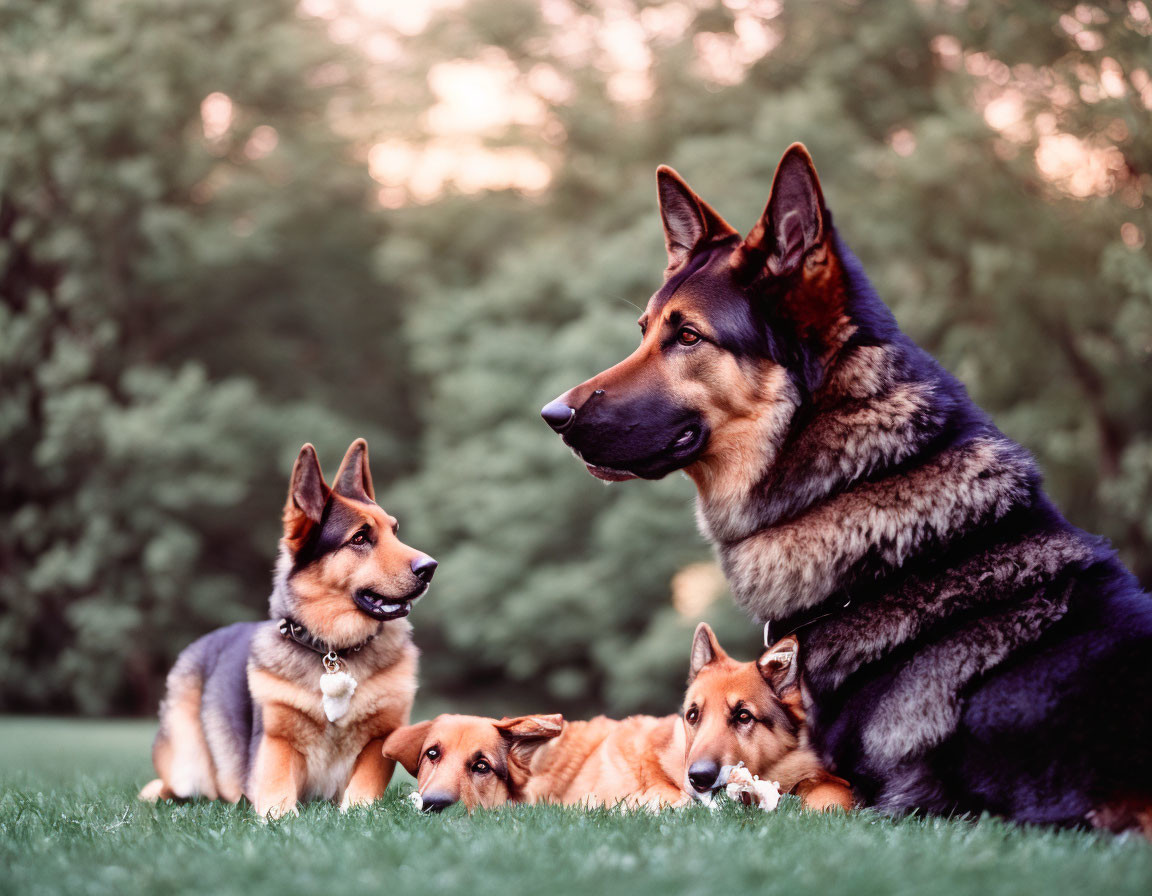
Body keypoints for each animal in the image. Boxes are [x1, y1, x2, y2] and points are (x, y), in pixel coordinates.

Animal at [138, 435, 435, 815]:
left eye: (395, 531)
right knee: (166, 786)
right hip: (186, 766)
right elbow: (277, 790)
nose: (430, 568)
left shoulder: (381, 739)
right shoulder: (274, 743)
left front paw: (358, 809)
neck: (334, 650)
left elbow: (365, 784)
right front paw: (281, 816)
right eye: (359, 538)